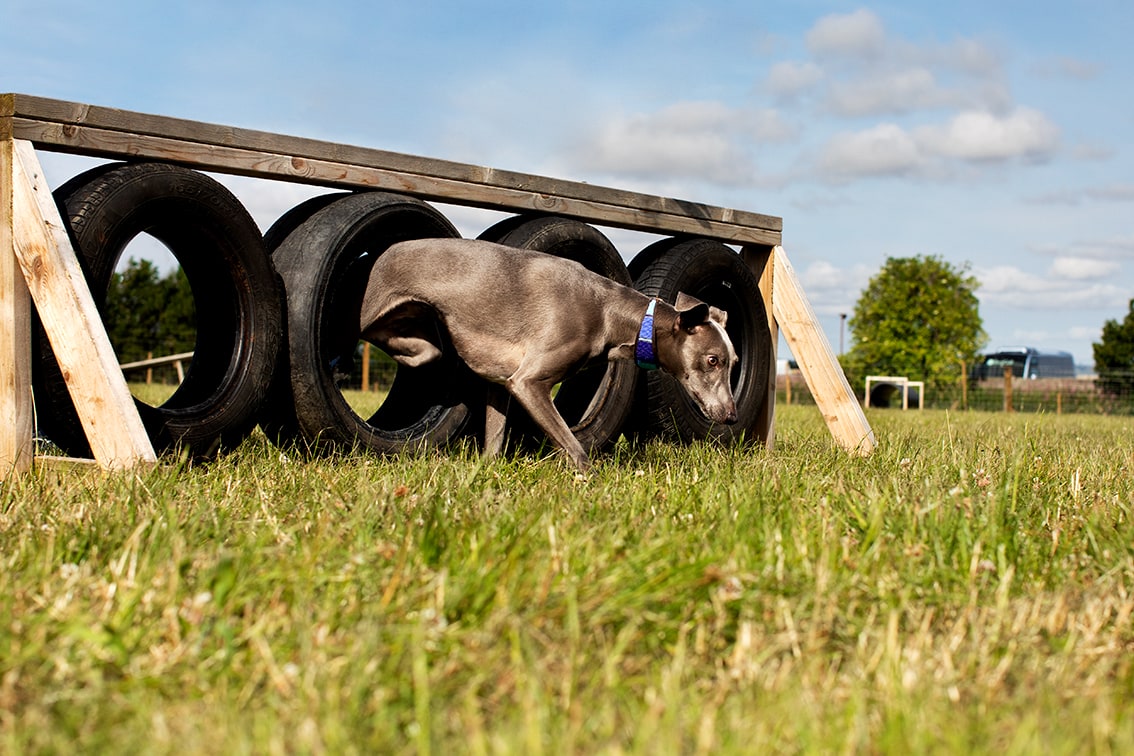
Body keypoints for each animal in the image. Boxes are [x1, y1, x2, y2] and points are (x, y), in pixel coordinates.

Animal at [358, 239, 739, 469]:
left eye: (733, 363)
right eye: (712, 360)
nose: (732, 416)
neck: (609, 312)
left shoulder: (501, 382)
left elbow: (494, 442)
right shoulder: (528, 382)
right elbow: (577, 450)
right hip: (374, 309)